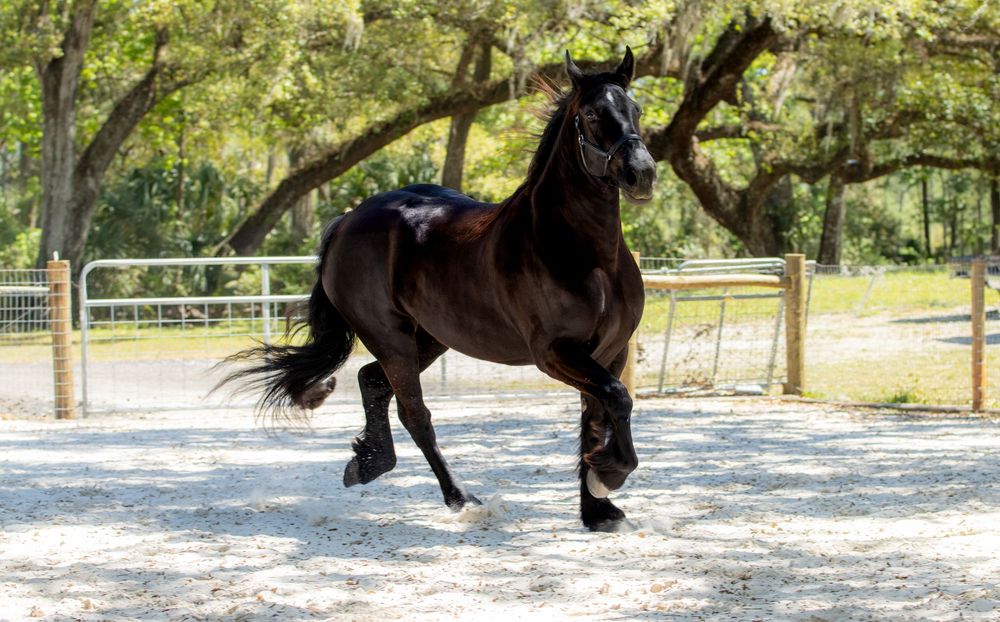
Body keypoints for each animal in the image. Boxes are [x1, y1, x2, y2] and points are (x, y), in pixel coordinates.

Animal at [223, 47, 656, 531]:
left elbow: (597, 415)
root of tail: (348, 219)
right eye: (592, 115)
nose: (641, 174)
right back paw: (459, 497)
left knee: (371, 380)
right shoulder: (555, 352)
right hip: (391, 338)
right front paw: (609, 476)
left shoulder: (610, 350)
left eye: (635, 109)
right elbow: (616, 400)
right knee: (414, 412)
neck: (586, 256)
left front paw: (597, 508)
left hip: (429, 337)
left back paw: (367, 464)